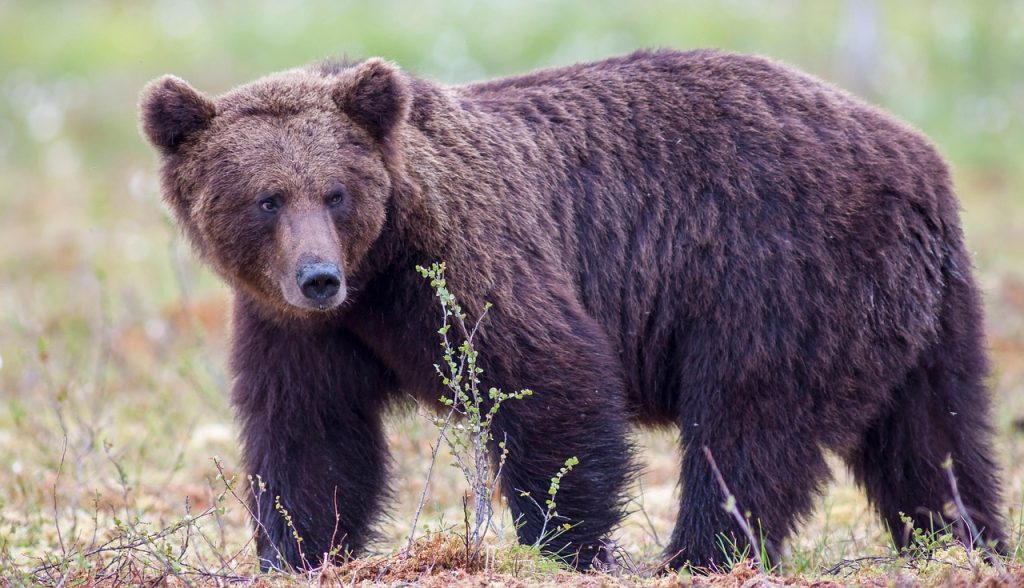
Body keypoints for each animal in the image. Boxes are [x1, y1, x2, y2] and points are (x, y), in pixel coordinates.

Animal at [139, 49, 1005, 571]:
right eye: (266, 198)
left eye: (335, 192)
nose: (317, 276)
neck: (379, 269)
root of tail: (917, 159)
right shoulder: (300, 328)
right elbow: (311, 438)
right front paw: (300, 550)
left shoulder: (470, 259)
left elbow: (551, 383)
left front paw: (568, 545)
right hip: (923, 313)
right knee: (934, 440)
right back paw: (963, 544)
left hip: (779, 275)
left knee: (750, 428)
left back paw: (697, 555)